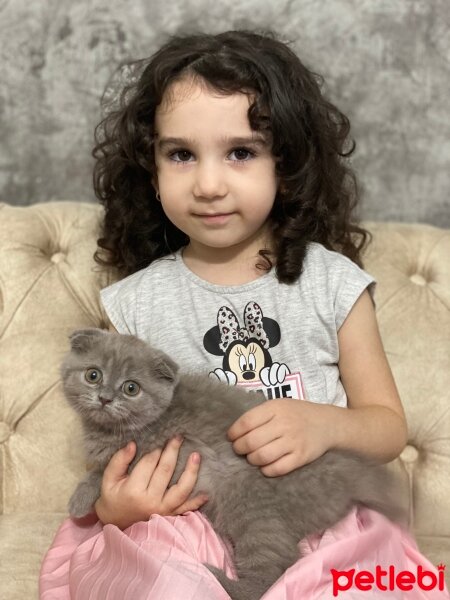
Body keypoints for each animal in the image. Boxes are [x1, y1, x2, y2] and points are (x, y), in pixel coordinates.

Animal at [61, 328, 402, 600]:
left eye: (131, 388)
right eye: (93, 375)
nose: (105, 398)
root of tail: (343, 473)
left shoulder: (166, 451)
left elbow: (104, 470)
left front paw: (79, 499)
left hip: (253, 510)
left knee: (273, 573)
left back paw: (217, 578)